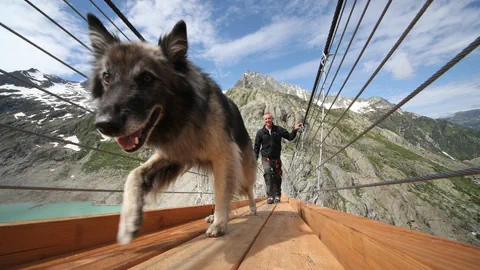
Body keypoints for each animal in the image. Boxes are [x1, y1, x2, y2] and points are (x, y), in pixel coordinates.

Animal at [87, 13, 256, 244]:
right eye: (107, 77)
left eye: (147, 78)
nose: (104, 124)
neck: (184, 115)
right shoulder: (174, 153)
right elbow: (134, 174)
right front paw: (129, 221)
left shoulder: (224, 154)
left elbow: (223, 192)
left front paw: (221, 223)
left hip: (243, 165)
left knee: (247, 187)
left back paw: (251, 208)